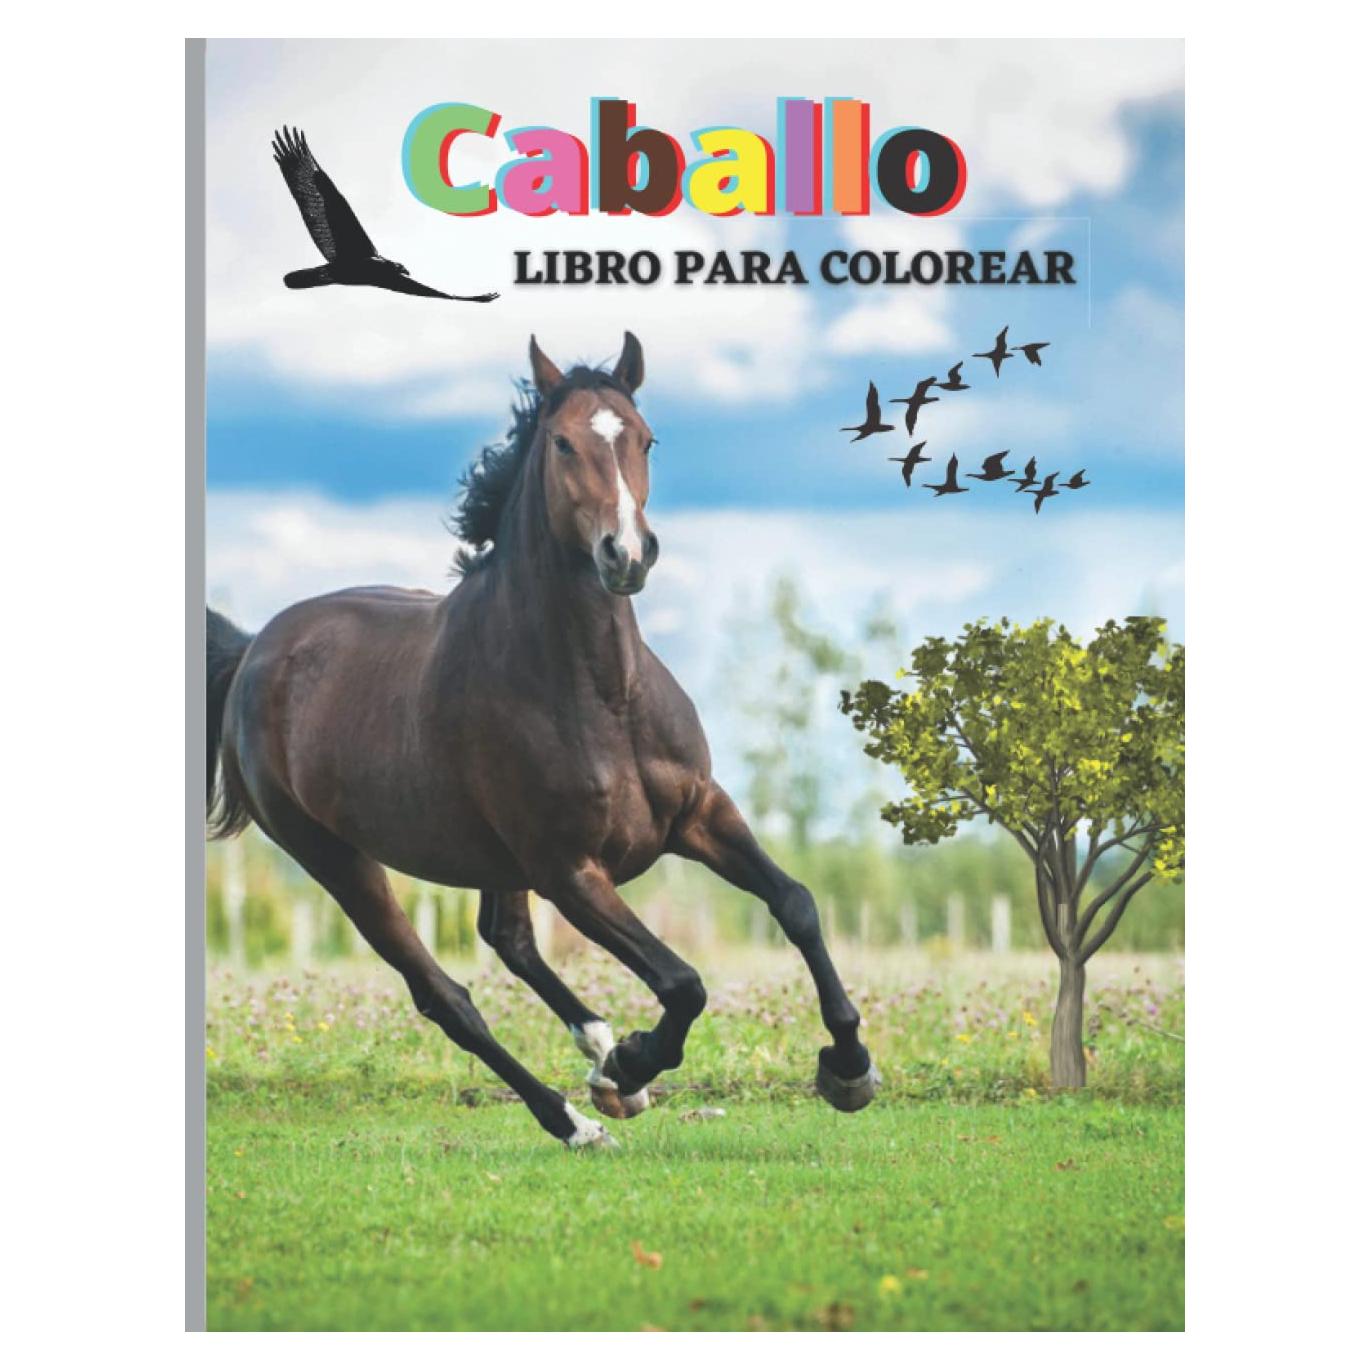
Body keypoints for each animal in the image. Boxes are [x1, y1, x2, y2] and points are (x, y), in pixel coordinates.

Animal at [206, 331, 879, 1148]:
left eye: (646, 438)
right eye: (561, 442)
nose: (627, 555)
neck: (603, 695)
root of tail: (254, 652)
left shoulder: (700, 814)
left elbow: (797, 904)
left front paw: (848, 1067)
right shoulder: (570, 871)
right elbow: (682, 982)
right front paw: (633, 1060)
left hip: (493, 857)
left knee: (508, 939)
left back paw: (598, 1054)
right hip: (338, 860)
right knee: (446, 996)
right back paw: (577, 1115)